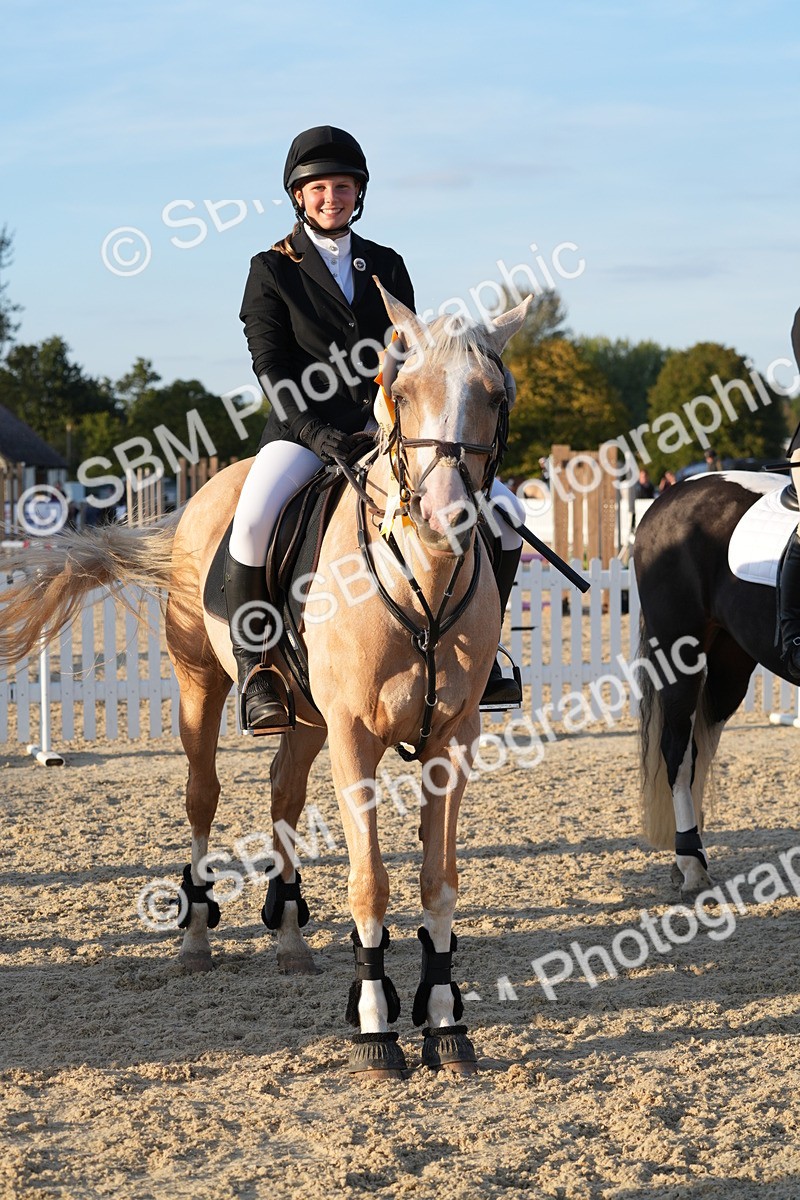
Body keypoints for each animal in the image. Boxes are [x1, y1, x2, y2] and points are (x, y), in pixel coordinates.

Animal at [0, 284, 530, 1078]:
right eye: (402, 392)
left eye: (494, 396)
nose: (444, 518)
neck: (424, 582)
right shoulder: (355, 738)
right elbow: (370, 884)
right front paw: (376, 1030)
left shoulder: (451, 740)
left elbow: (439, 883)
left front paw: (445, 1023)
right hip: (201, 684)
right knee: (202, 796)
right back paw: (195, 938)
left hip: (306, 718)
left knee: (283, 790)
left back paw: (288, 936)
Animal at [633, 468, 797, 898]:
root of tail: (672, 494)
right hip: (679, 653)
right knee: (677, 750)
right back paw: (691, 866)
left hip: (729, 662)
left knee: (699, 747)